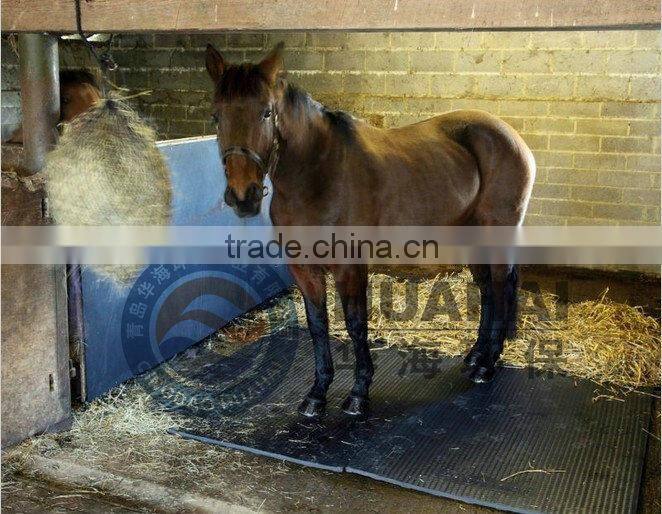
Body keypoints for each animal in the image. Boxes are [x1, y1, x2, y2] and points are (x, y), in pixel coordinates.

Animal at [205, 42, 536, 417]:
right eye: (216, 116)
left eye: (265, 113)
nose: (242, 196)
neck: (318, 175)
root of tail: (511, 136)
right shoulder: (303, 269)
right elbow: (318, 325)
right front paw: (316, 394)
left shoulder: (350, 267)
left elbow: (355, 324)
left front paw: (359, 395)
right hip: (471, 234)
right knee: (488, 289)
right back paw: (475, 356)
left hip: (498, 229)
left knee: (501, 286)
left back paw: (487, 365)